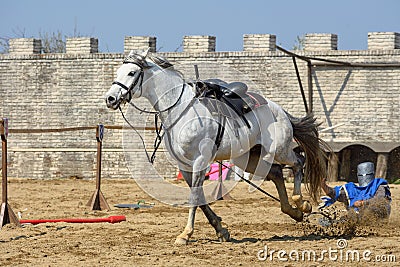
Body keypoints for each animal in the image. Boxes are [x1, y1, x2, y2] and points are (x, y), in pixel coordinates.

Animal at [104, 49, 330, 245]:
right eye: (118, 72)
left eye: (132, 72)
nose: (110, 98)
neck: (181, 110)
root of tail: (280, 111)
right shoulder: (185, 166)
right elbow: (200, 198)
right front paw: (221, 230)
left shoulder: (199, 161)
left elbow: (195, 197)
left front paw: (186, 234)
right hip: (247, 158)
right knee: (276, 173)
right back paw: (294, 211)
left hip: (280, 150)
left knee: (299, 162)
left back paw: (302, 202)